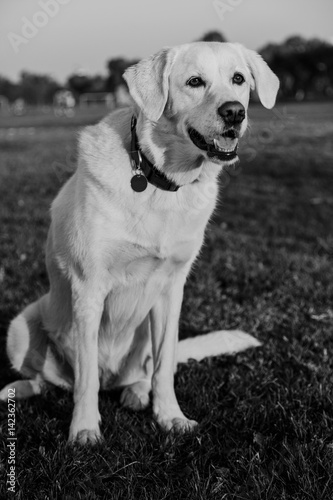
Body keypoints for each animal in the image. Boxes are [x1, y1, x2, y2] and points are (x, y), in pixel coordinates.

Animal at [0, 42, 278, 442]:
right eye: (195, 82)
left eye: (238, 79)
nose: (234, 112)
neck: (162, 178)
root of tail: (115, 379)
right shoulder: (88, 288)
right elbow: (86, 377)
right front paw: (84, 430)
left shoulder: (171, 290)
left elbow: (163, 369)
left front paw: (170, 416)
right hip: (20, 327)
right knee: (53, 381)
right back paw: (16, 390)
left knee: (144, 372)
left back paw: (135, 394)